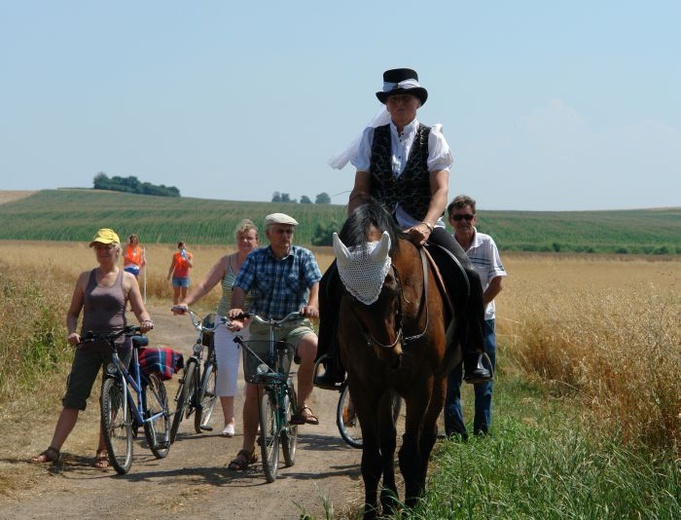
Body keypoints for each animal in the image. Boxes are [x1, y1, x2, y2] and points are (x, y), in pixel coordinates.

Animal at [332, 203, 460, 520]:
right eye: (350, 297)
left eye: (391, 287)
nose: (391, 355)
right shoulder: (364, 387)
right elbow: (373, 455)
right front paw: (373, 510)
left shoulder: (420, 386)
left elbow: (411, 450)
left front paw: (413, 503)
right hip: (386, 389)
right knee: (389, 441)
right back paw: (389, 501)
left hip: (440, 381)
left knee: (426, 437)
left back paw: (418, 494)